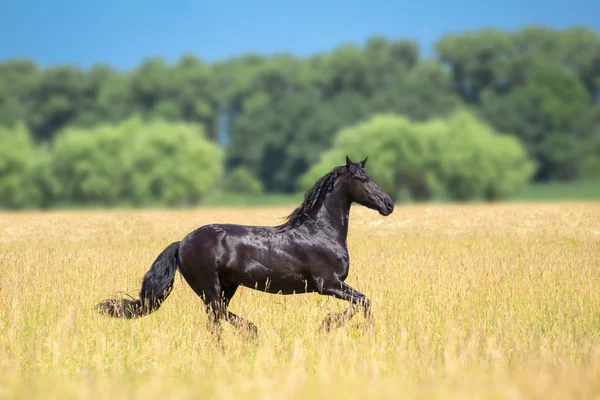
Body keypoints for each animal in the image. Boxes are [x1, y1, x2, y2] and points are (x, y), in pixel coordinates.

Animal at [96, 157, 396, 340]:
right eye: (362, 179)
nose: (389, 204)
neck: (320, 231)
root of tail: (182, 243)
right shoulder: (328, 284)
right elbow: (364, 302)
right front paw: (331, 325)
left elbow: (363, 302)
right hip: (210, 288)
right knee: (216, 317)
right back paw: (244, 337)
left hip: (227, 287)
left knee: (217, 318)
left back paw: (247, 335)